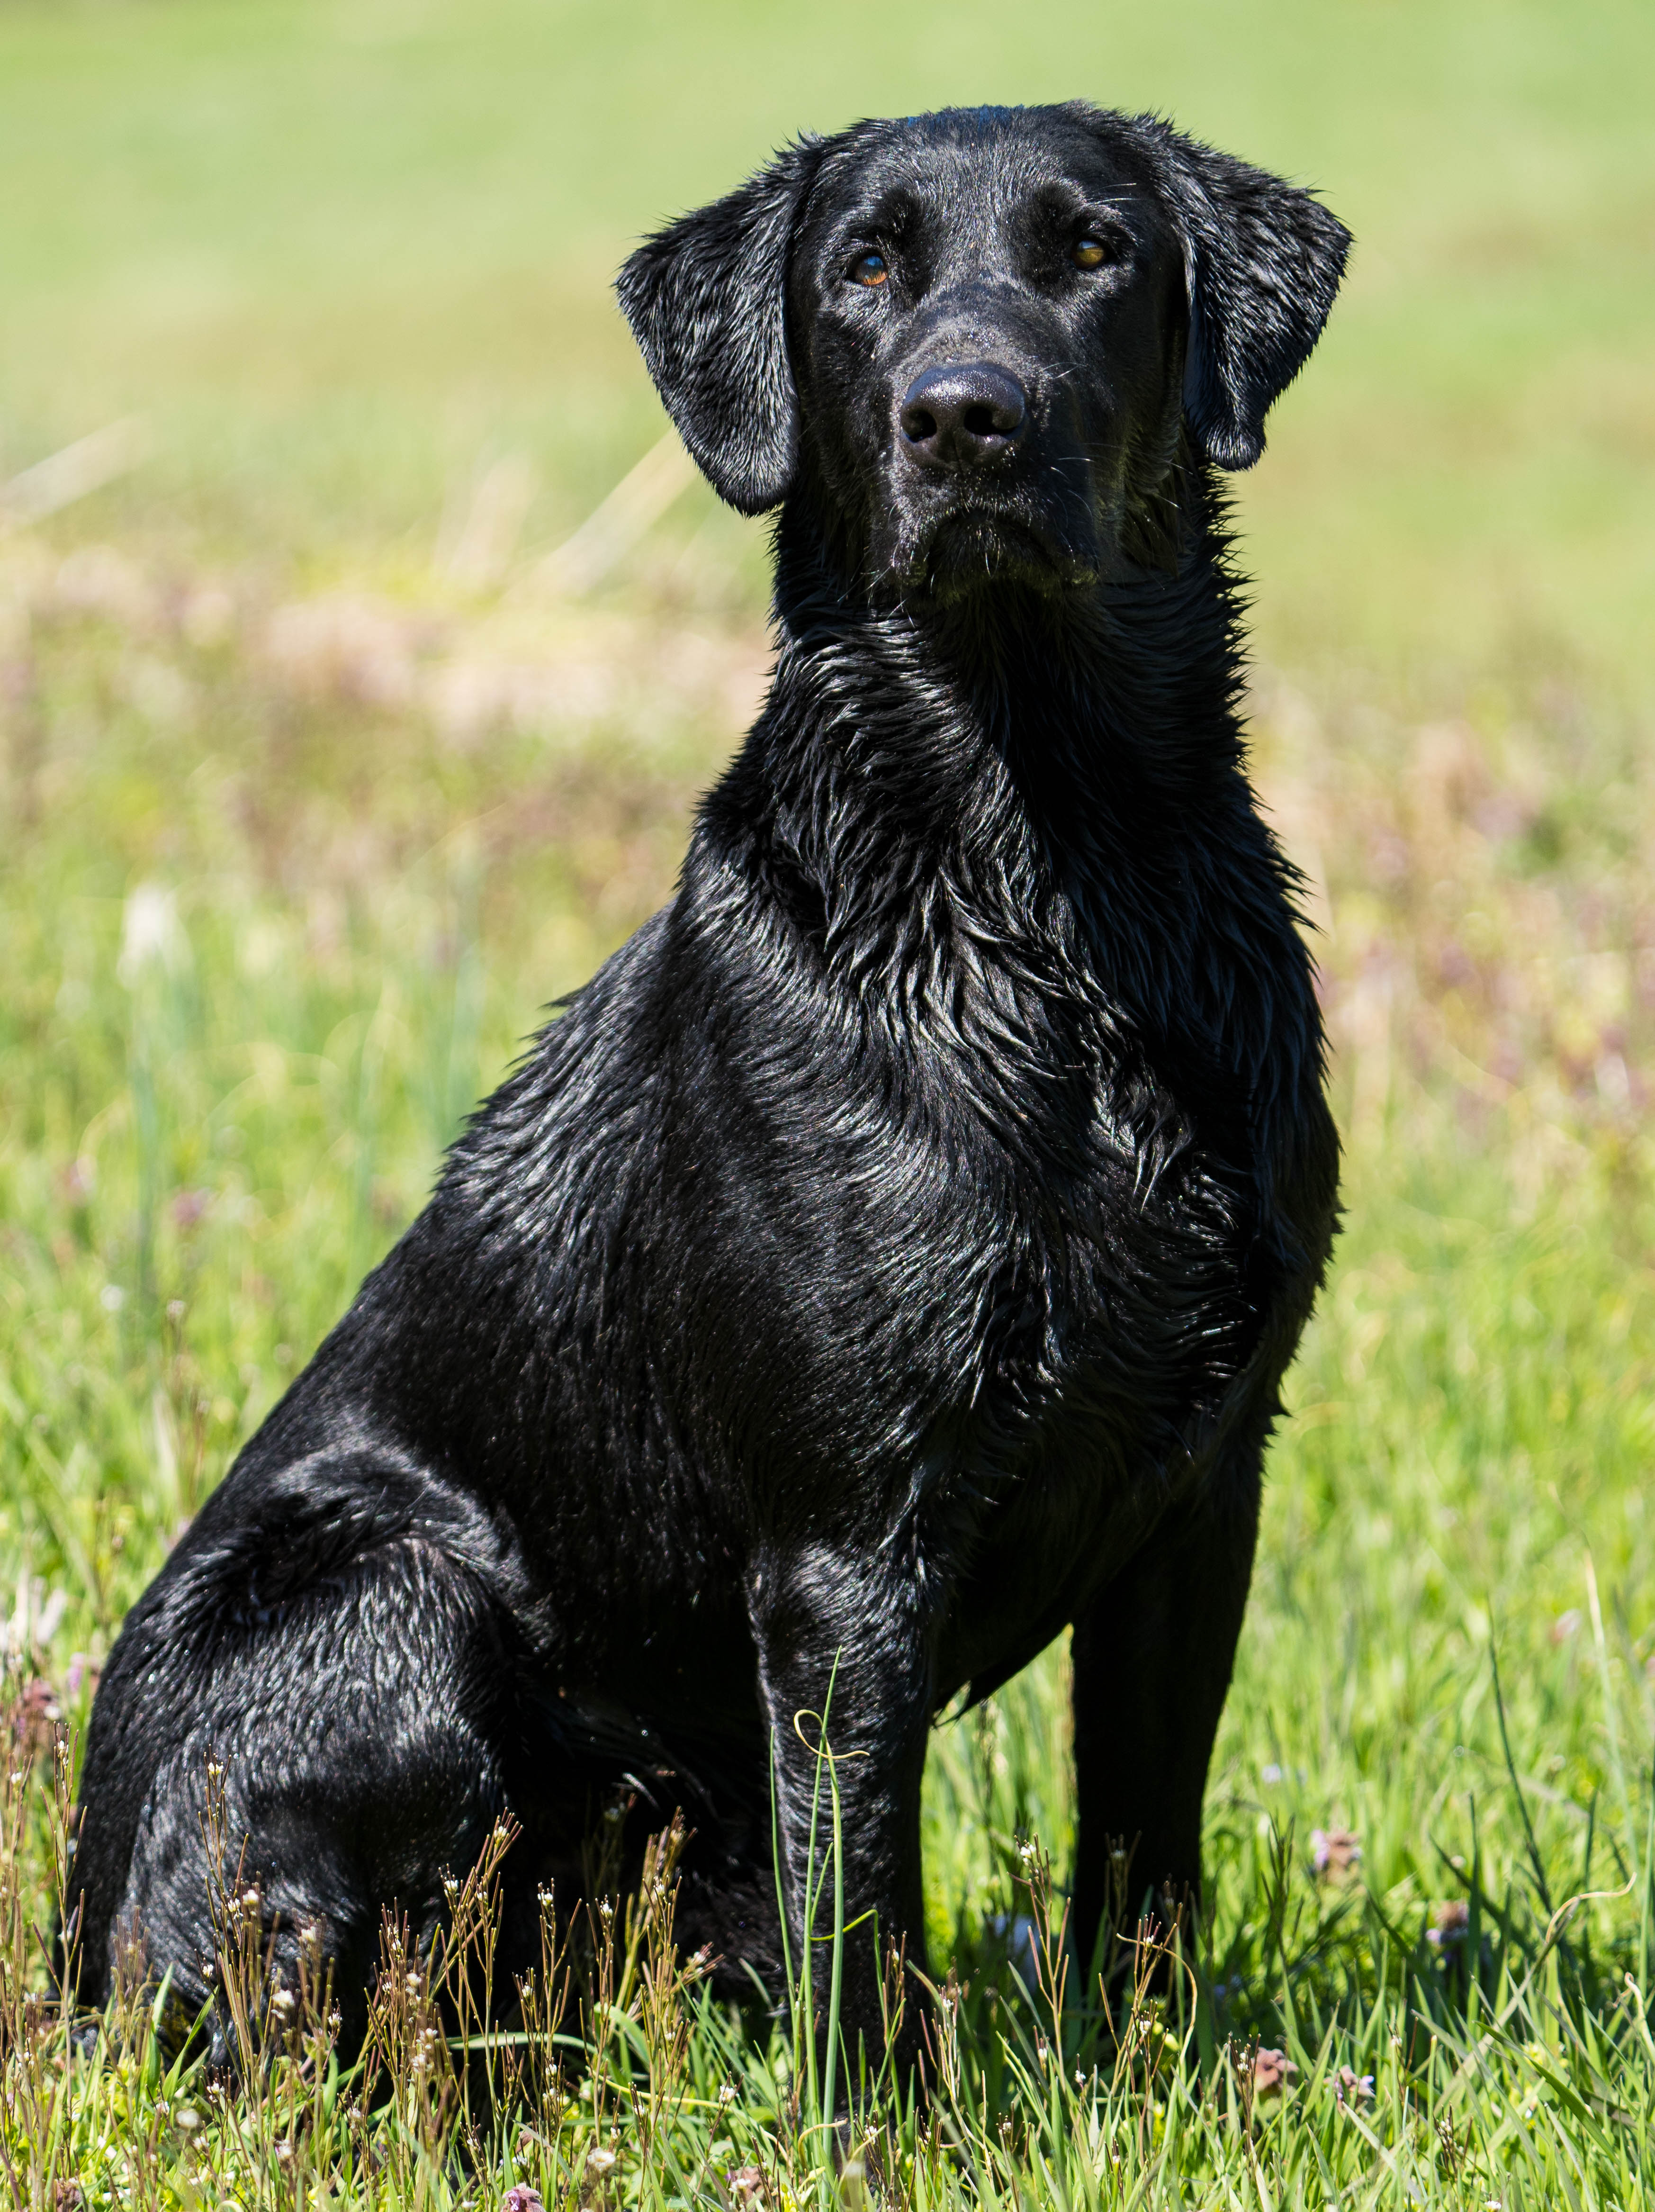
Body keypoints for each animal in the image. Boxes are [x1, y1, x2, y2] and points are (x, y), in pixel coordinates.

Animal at [71, 104, 1354, 2061]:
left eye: (1094, 252)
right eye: (866, 266)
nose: (964, 414)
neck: (1042, 886)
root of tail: (65, 1945)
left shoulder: (1203, 1483)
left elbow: (1144, 1864)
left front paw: (1171, 2086)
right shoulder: (843, 1543)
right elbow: (861, 1912)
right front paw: (883, 2118)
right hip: (385, 1589)